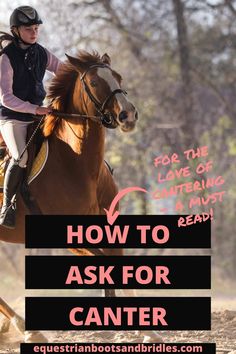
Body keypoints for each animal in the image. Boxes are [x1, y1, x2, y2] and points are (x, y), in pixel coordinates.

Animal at [0, 49, 162, 342]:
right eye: (95, 83)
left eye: (118, 76)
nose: (128, 115)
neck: (76, 163)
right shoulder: (70, 237)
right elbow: (104, 265)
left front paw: (148, 331)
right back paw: (25, 328)